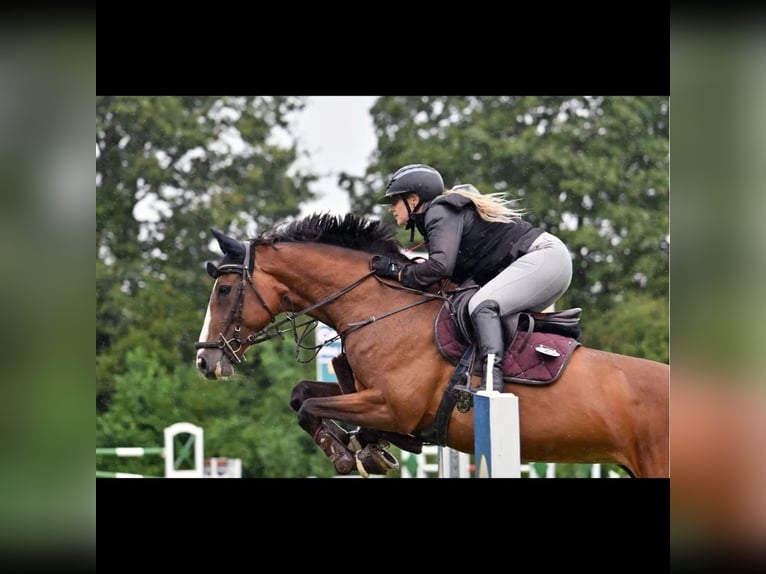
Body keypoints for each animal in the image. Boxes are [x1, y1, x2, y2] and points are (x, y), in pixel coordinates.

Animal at [195, 214, 668, 480]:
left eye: (224, 289)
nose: (204, 360)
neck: (380, 309)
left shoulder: (390, 405)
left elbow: (311, 406)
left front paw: (348, 455)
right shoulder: (366, 394)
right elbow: (302, 395)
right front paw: (366, 448)